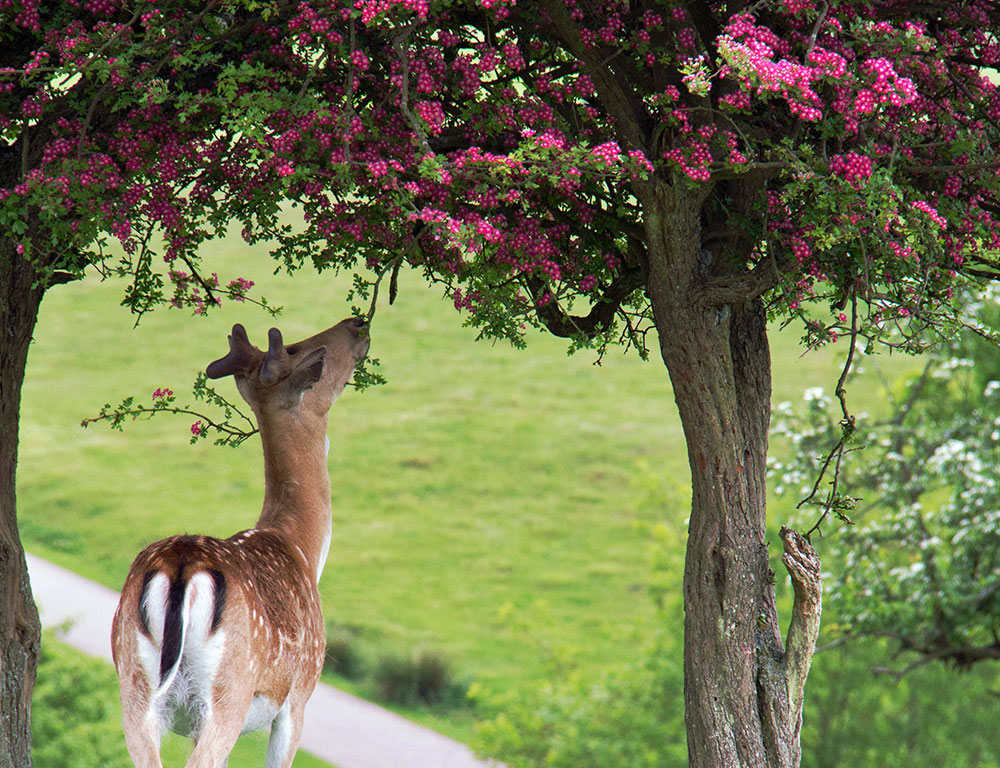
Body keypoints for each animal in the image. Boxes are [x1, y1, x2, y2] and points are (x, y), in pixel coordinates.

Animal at [111, 316, 370, 768]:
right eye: (300, 348)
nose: (358, 323)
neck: (303, 548)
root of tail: (182, 567)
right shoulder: (298, 697)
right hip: (228, 692)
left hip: (135, 689)